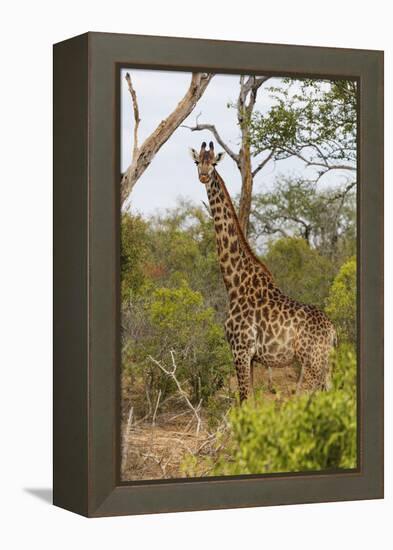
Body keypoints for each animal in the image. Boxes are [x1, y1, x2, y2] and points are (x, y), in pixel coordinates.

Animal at [188, 140, 336, 404]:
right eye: (197, 161)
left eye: (213, 162)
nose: (203, 175)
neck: (235, 284)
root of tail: (333, 332)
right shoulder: (252, 357)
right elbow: (250, 402)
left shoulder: (240, 350)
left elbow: (244, 401)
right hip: (325, 365)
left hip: (312, 362)